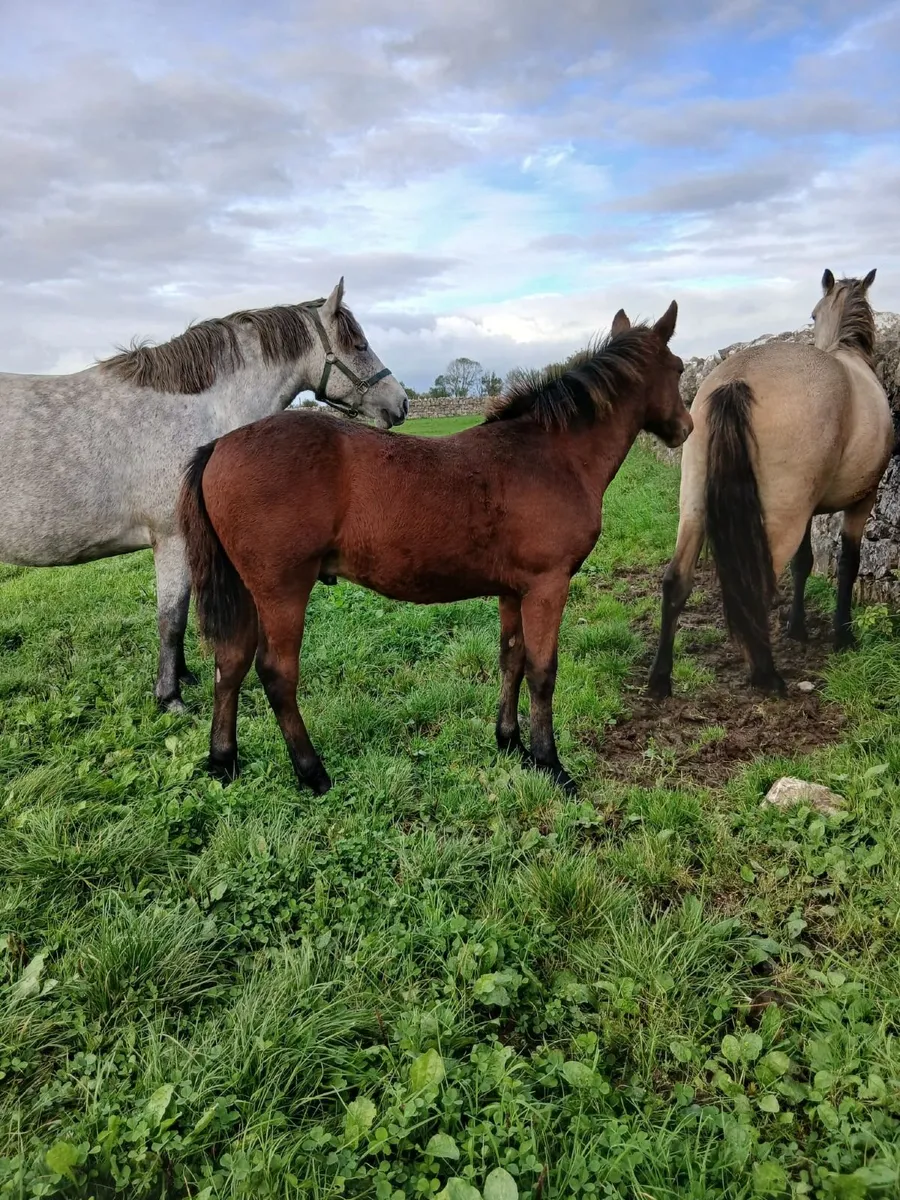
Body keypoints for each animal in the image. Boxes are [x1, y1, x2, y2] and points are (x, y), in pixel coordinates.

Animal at [0, 279, 408, 711]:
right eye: (359, 345)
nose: (400, 402)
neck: (199, 410)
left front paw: (183, 677)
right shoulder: (172, 540)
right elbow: (171, 618)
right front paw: (170, 697)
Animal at [177, 301, 692, 796]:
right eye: (680, 367)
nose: (685, 428)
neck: (551, 454)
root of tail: (219, 445)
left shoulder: (514, 590)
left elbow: (512, 658)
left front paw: (510, 742)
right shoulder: (548, 587)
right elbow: (543, 673)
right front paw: (550, 764)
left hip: (246, 590)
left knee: (230, 662)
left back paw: (223, 761)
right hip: (282, 591)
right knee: (277, 673)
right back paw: (312, 772)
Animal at [648, 269, 893, 700]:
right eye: (813, 314)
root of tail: (737, 378)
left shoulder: (811, 510)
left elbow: (804, 563)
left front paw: (797, 629)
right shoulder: (862, 501)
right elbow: (847, 564)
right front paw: (843, 637)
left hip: (694, 504)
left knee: (676, 581)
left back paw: (660, 679)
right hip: (780, 517)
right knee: (756, 586)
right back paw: (767, 676)